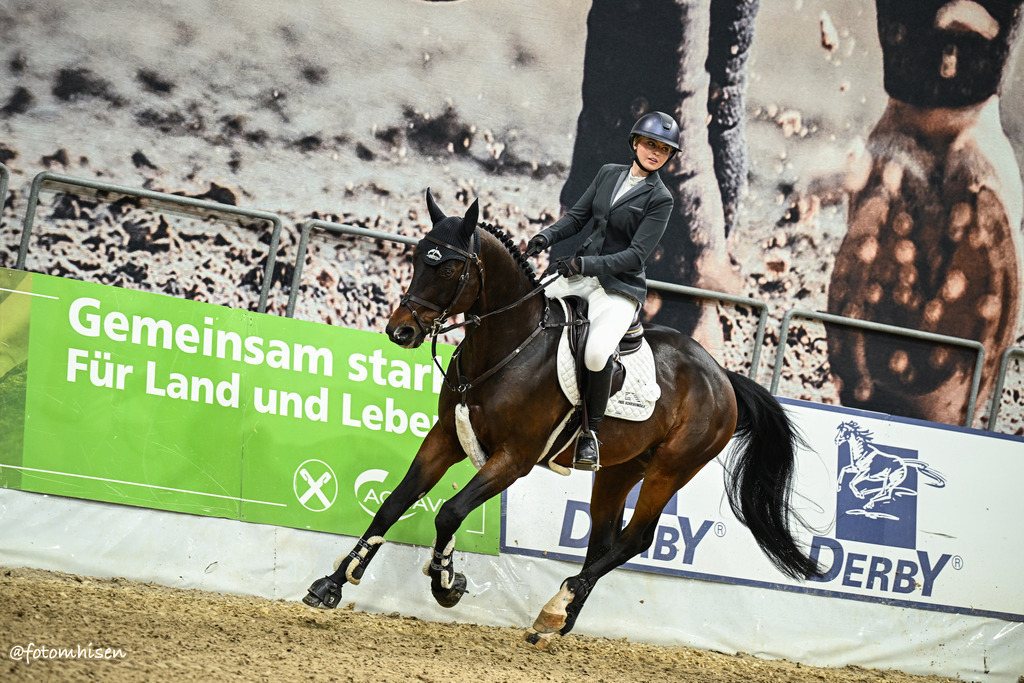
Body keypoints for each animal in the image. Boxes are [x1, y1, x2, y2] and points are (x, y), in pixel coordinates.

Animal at [303, 190, 823, 648]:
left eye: (450, 266)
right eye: (415, 259)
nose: (401, 331)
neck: (508, 346)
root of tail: (722, 376)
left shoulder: (513, 458)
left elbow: (449, 512)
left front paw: (446, 583)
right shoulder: (446, 438)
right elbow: (393, 503)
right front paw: (334, 582)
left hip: (671, 468)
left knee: (635, 538)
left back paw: (557, 606)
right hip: (619, 469)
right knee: (604, 539)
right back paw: (559, 620)